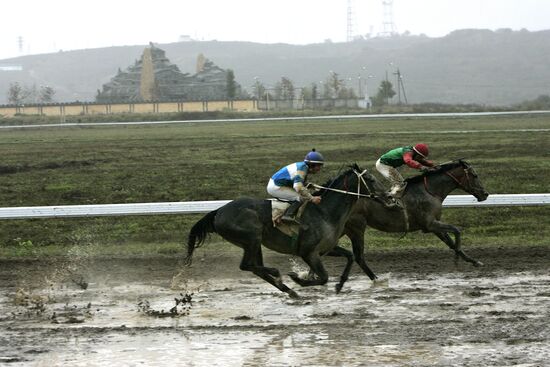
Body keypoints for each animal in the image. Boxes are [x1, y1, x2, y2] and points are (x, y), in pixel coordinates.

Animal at [188, 165, 374, 298]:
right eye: (371, 179)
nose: (382, 196)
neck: (324, 212)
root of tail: (218, 211)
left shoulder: (325, 248)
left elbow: (350, 256)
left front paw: (340, 284)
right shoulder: (308, 252)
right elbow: (323, 277)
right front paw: (298, 279)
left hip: (255, 243)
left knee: (255, 268)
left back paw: (289, 290)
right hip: (252, 238)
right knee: (246, 265)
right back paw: (278, 274)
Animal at [342, 160, 490, 280]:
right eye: (475, 175)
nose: (485, 194)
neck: (429, 191)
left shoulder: (434, 226)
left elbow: (451, 243)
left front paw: (474, 261)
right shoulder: (430, 225)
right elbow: (457, 231)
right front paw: (456, 261)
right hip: (357, 228)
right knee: (359, 256)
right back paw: (375, 278)